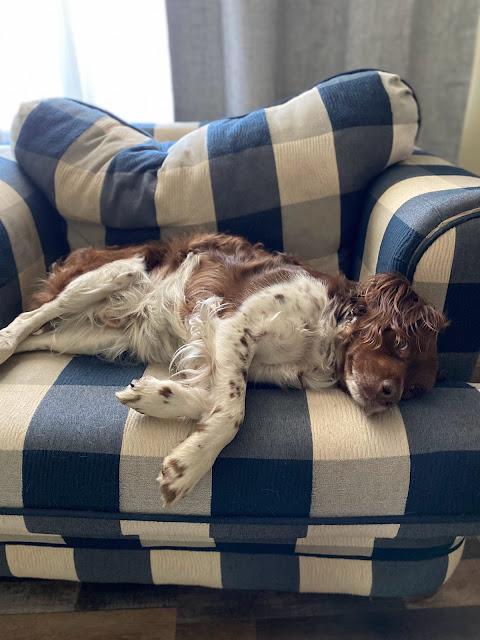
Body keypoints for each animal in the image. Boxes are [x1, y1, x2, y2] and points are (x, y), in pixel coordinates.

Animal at [0, 233, 447, 505]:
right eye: (399, 342)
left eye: (414, 391)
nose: (390, 395)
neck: (323, 335)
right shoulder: (237, 324)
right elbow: (233, 412)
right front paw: (188, 466)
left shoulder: (231, 351)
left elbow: (210, 399)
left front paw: (156, 396)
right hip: (109, 275)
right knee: (27, 317)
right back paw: (5, 342)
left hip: (91, 337)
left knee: (37, 335)